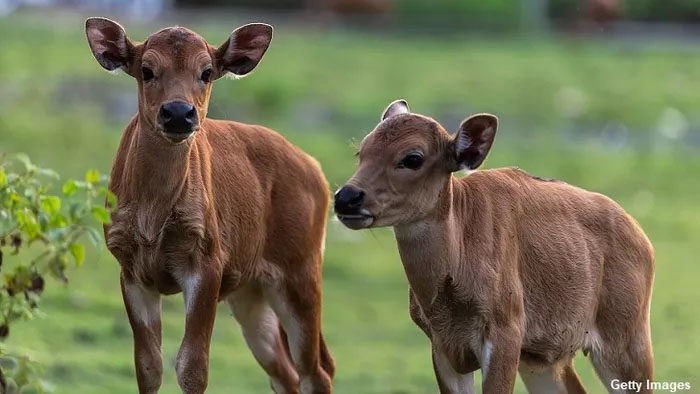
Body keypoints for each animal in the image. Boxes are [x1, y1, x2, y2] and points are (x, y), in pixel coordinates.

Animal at [86, 17, 334, 390]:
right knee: (285, 371)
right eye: (146, 69)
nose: (178, 113)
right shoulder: (130, 268)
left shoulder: (207, 260)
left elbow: (192, 367)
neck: (152, 218)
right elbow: (148, 366)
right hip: (251, 291)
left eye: (206, 72)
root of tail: (317, 171)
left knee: (315, 370)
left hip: (300, 270)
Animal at [336, 101, 652, 394]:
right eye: (361, 151)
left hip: (627, 338)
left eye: (413, 158)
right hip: (543, 359)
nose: (346, 197)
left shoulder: (505, 328)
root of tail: (643, 239)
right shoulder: (442, 347)